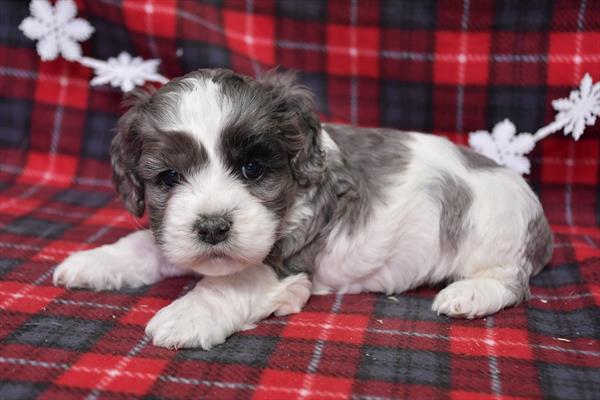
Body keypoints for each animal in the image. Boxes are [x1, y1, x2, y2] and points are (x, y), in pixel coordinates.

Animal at [52, 69, 552, 350]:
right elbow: (147, 244)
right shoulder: (174, 233)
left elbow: (229, 284)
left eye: (253, 169)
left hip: (494, 232)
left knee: (512, 282)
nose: (213, 228)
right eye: (169, 178)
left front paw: (185, 315)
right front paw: (95, 261)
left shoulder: (288, 260)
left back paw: (467, 295)